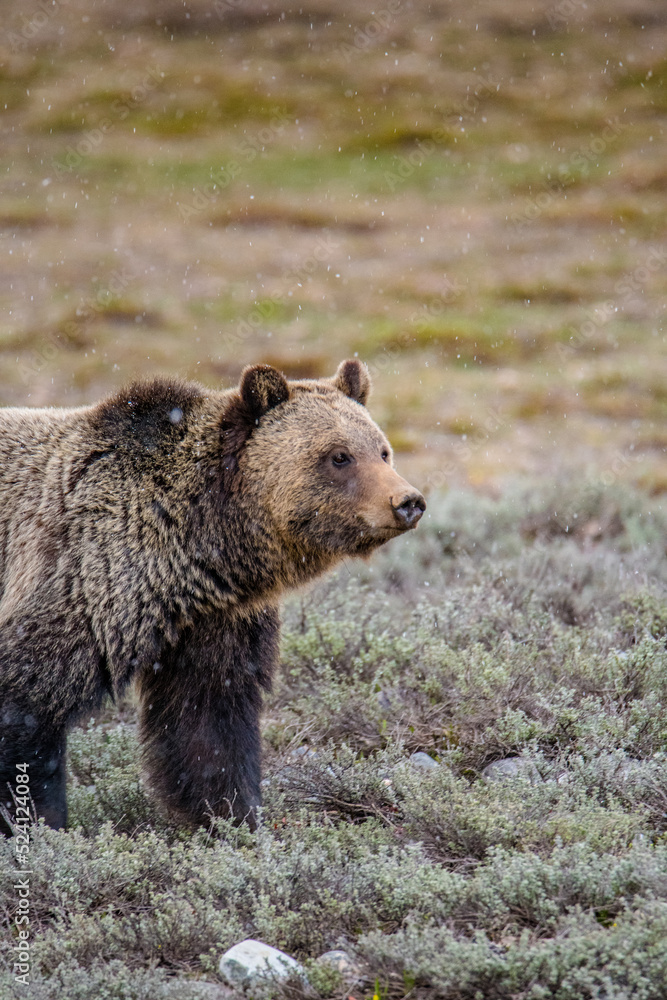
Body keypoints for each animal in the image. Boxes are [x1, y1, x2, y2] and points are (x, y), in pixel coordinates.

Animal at [0, 360, 426, 828]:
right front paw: (40, 822)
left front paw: (232, 816)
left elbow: (208, 719)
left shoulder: (215, 619)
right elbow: (27, 705)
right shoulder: (81, 582)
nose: (407, 501)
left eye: (382, 450)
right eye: (339, 456)